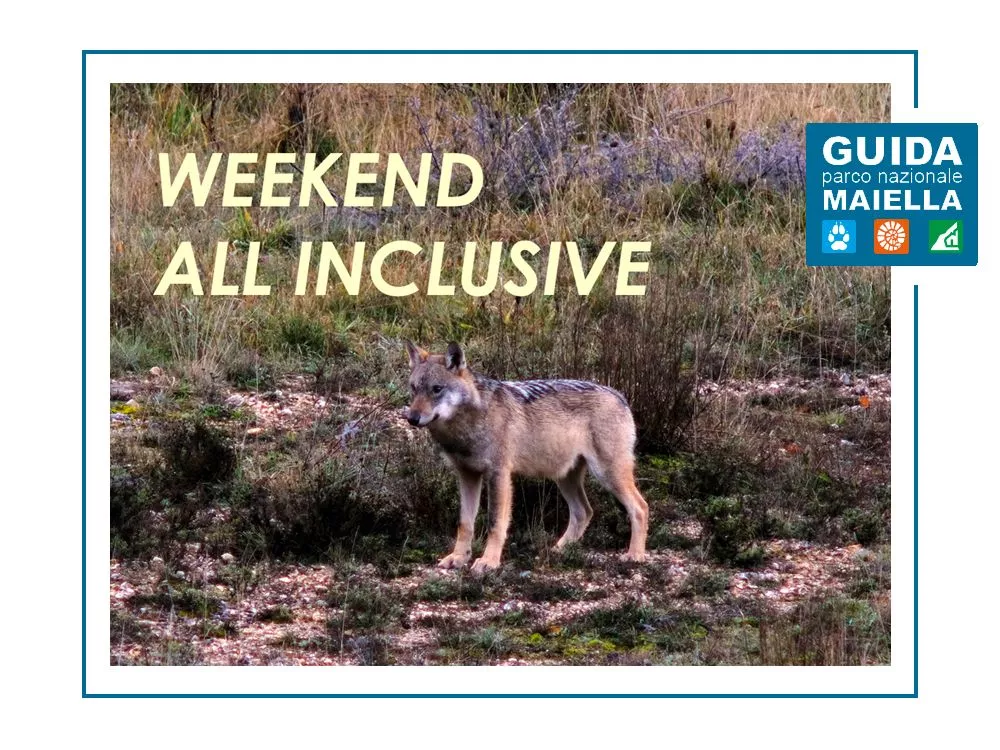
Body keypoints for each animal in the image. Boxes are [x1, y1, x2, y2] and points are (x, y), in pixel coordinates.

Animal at [405, 341, 648, 574]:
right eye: (414, 388)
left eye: (437, 389)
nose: (412, 418)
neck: (466, 426)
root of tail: (619, 395)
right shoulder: (467, 475)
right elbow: (465, 523)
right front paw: (458, 558)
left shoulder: (499, 474)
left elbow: (495, 523)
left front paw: (489, 562)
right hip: (565, 478)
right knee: (584, 512)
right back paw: (558, 550)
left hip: (607, 475)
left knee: (640, 507)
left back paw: (635, 555)